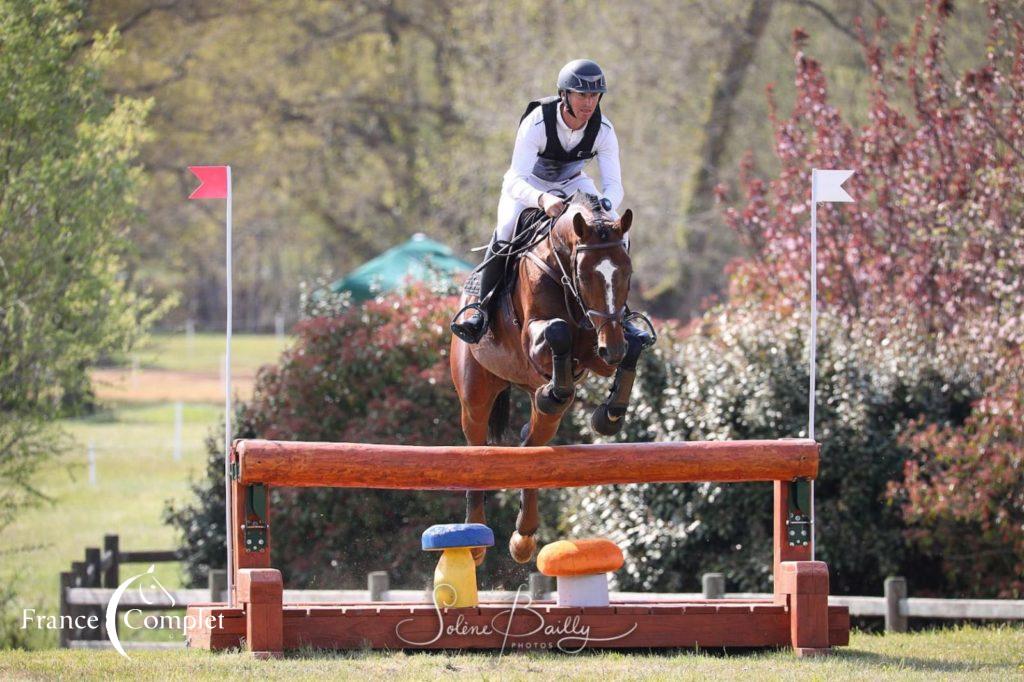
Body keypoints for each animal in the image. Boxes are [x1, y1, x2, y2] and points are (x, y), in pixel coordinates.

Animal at [448, 188, 647, 561]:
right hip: (475, 395)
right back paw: (475, 539)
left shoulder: (598, 349)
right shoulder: (536, 338)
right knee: (477, 449)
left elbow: (634, 344)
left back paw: (524, 536)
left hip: (541, 411)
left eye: (627, 272)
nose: (611, 349)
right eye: (585, 275)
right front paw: (559, 390)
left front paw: (609, 415)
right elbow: (557, 331)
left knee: (532, 445)